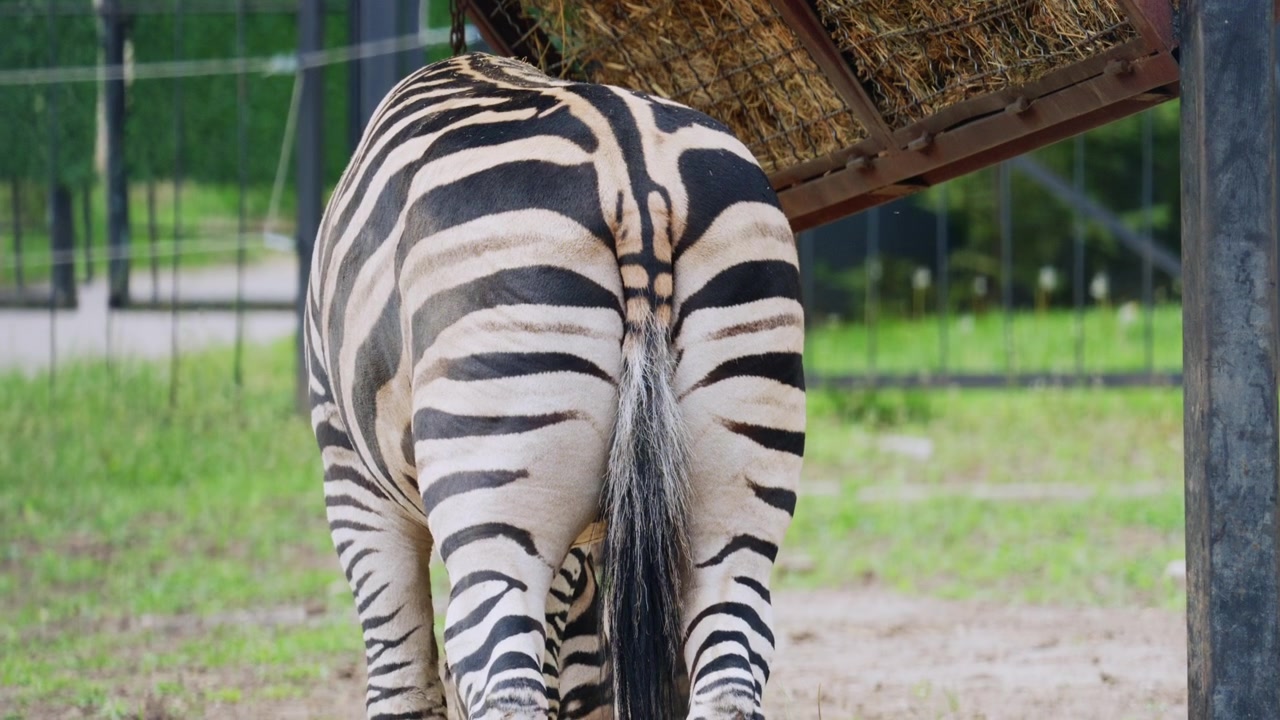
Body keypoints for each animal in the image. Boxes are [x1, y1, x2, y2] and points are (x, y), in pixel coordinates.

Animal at [304, 52, 806, 720]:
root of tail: (636, 178)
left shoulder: (351, 475)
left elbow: (401, 676)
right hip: (736, 478)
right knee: (730, 659)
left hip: (491, 468)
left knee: (499, 670)